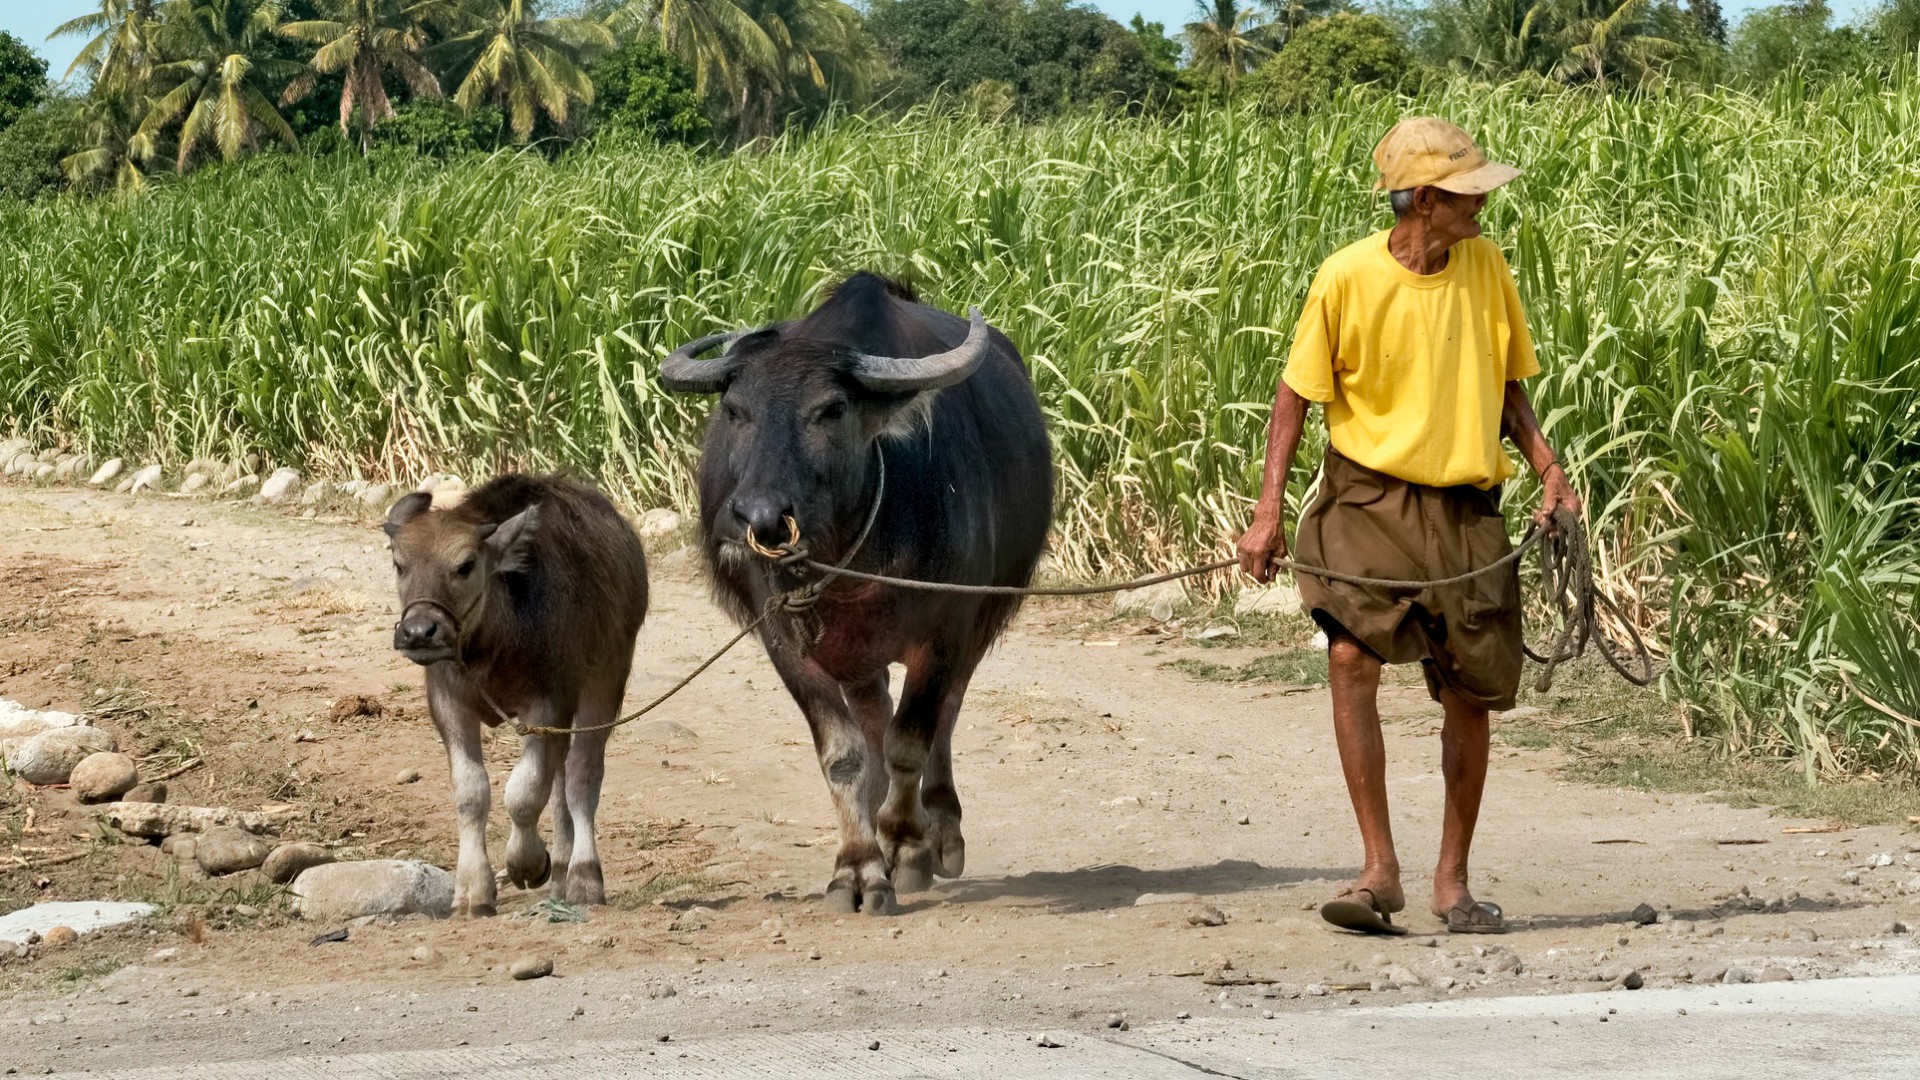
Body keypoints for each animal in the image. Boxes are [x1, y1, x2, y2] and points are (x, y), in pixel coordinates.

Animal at [385, 474, 648, 910]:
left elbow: (525, 791)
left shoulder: (549, 705)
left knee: (581, 776)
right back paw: (561, 872)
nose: (419, 632)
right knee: (561, 780)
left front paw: (527, 863)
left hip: (607, 678)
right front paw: (472, 888)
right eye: (399, 565)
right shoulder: (448, 704)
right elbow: (471, 791)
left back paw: (582, 876)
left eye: (465, 566)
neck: (496, 641)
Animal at [656, 272, 1052, 910]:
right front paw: (859, 868)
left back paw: (938, 830)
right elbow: (842, 752)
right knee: (873, 715)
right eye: (736, 409)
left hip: (978, 622)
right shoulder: (782, 638)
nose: (758, 516)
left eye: (832, 409)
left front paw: (907, 848)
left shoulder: (947, 630)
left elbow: (911, 740)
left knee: (943, 714)